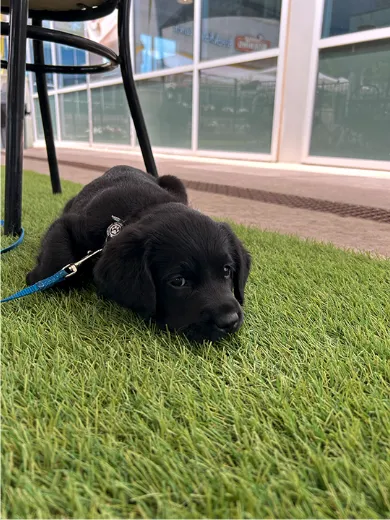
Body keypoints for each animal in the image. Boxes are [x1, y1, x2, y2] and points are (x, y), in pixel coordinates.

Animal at [28, 166, 253, 342]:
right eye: (178, 281)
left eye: (227, 270)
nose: (230, 321)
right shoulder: (69, 223)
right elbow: (58, 258)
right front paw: (37, 277)